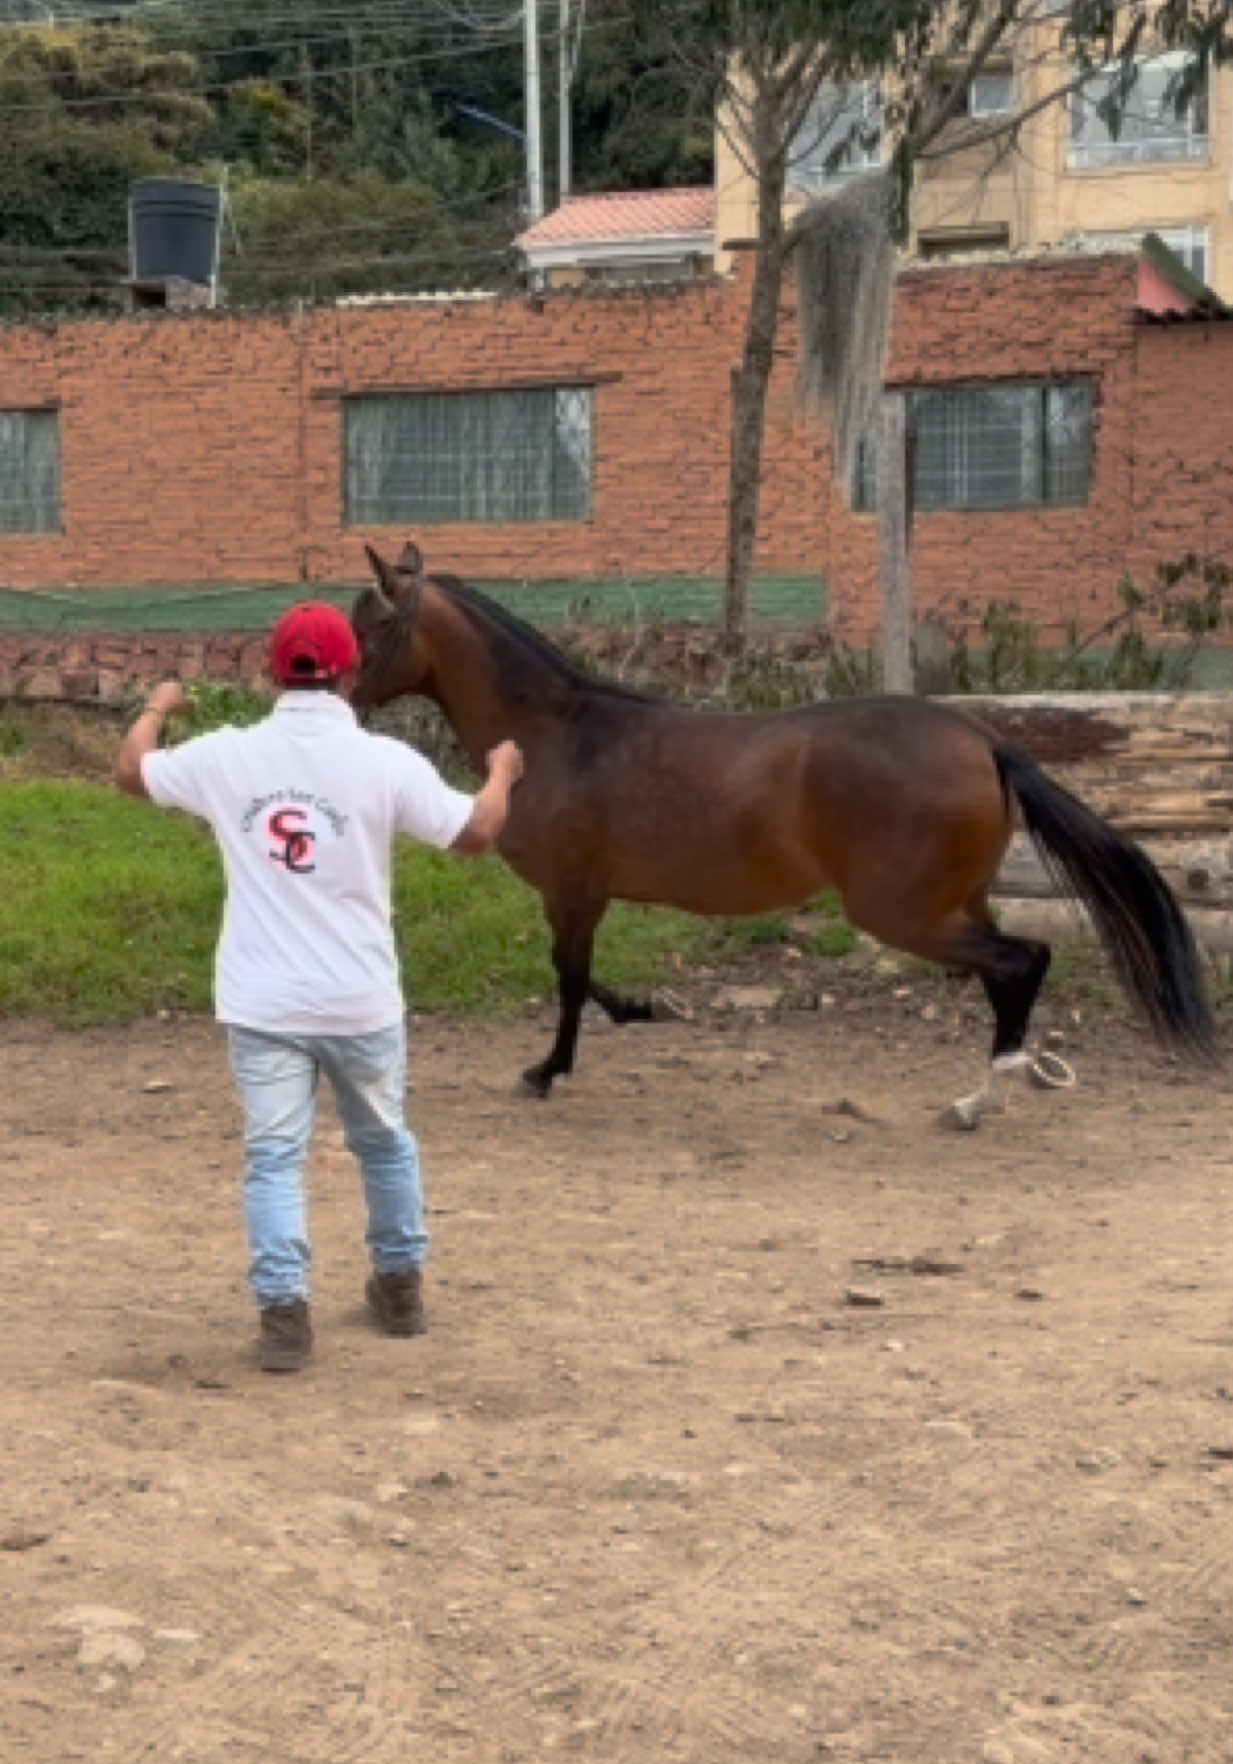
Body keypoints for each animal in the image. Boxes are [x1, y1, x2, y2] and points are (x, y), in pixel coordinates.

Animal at [351, 541, 1216, 1127]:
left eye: (372, 626)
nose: (341, 699)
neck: (558, 734)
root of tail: (982, 741)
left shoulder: (571, 893)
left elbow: (567, 978)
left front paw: (548, 1068)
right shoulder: (585, 896)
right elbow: (578, 977)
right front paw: (639, 1012)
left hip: (900, 912)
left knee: (1020, 961)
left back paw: (979, 1098)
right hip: (956, 903)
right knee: (1005, 971)